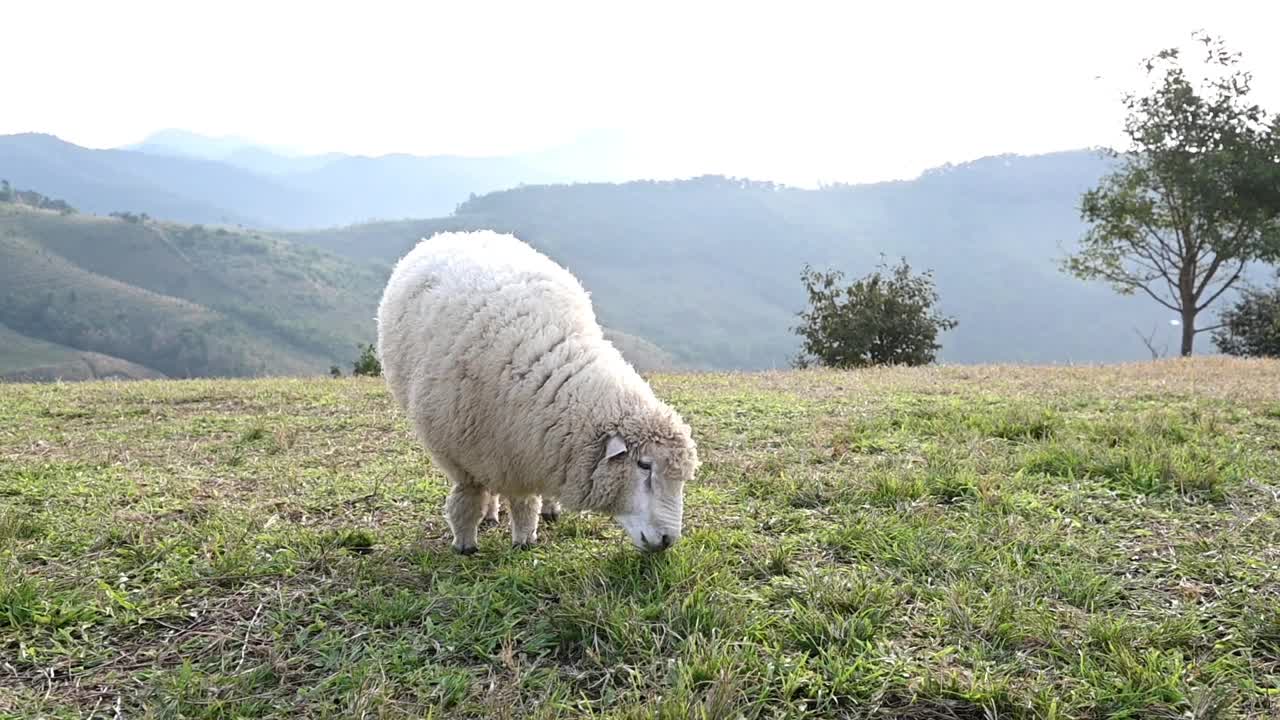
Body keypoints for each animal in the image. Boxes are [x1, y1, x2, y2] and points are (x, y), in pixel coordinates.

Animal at [373, 226, 701, 550]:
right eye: (644, 465)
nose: (668, 540)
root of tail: (460, 232)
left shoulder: (524, 450)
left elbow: (523, 501)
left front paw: (523, 538)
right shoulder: (463, 455)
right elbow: (468, 498)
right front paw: (465, 542)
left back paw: (546, 509)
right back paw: (490, 514)